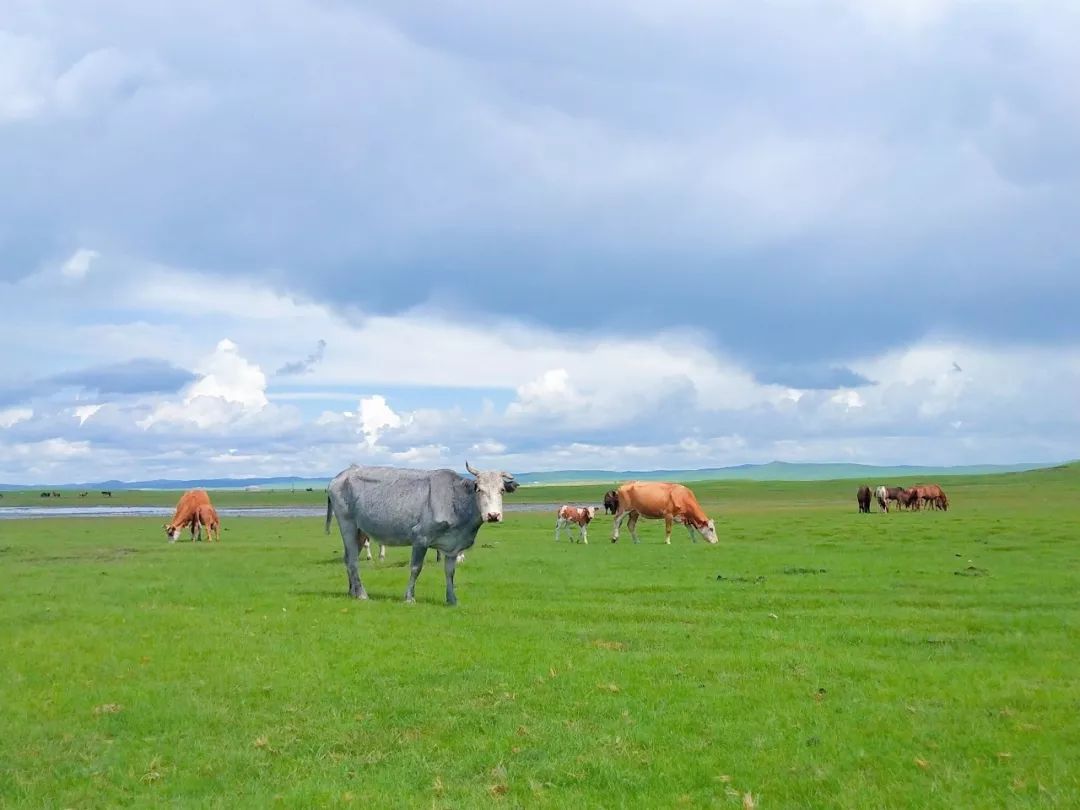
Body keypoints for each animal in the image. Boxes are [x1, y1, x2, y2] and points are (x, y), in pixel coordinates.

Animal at [324, 466, 518, 604]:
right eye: (479, 489)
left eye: (501, 490)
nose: (493, 515)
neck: (455, 500)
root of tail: (341, 475)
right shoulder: (420, 538)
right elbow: (416, 568)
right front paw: (409, 597)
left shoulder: (452, 547)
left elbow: (450, 572)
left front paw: (452, 599)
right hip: (347, 525)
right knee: (353, 561)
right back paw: (362, 594)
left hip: (361, 531)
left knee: (348, 558)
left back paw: (352, 591)